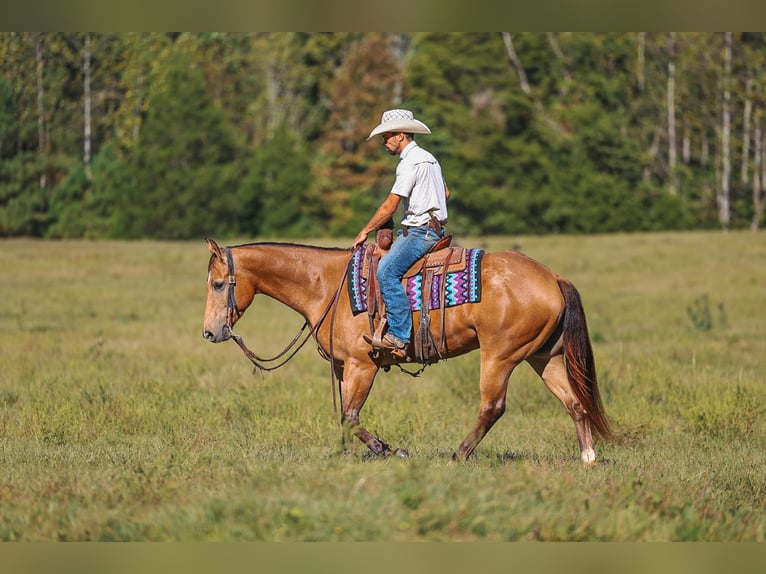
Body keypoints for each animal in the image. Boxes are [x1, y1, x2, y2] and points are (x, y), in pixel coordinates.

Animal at [202, 238, 612, 464]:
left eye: (219, 284)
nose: (210, 331)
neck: (327, 286)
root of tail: (552, 277)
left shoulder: (361, 366)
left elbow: (350, 417)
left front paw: (391, 450)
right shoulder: (342, 368)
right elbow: (344, 416)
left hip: (500, 356)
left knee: (493, 407)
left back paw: (459, 454)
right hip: (543, 356)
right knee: (574, 402)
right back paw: (588, 457)